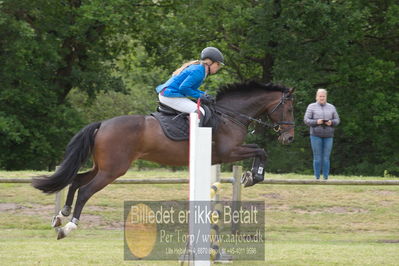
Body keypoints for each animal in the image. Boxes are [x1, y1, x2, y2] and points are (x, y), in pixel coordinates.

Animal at [32, 80, 296, 239]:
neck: (230, 115)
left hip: (103, 166)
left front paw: (252, 176)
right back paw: (69, 226)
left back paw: (60, 216)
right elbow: (261, 150)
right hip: (113, 170)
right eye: (290, 109)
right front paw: (254, 176)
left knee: (77, 180)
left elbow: (259, 149)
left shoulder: (229, 153)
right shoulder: (228, 152)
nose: (289, 138)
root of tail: (102, 124)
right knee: (86, 190)